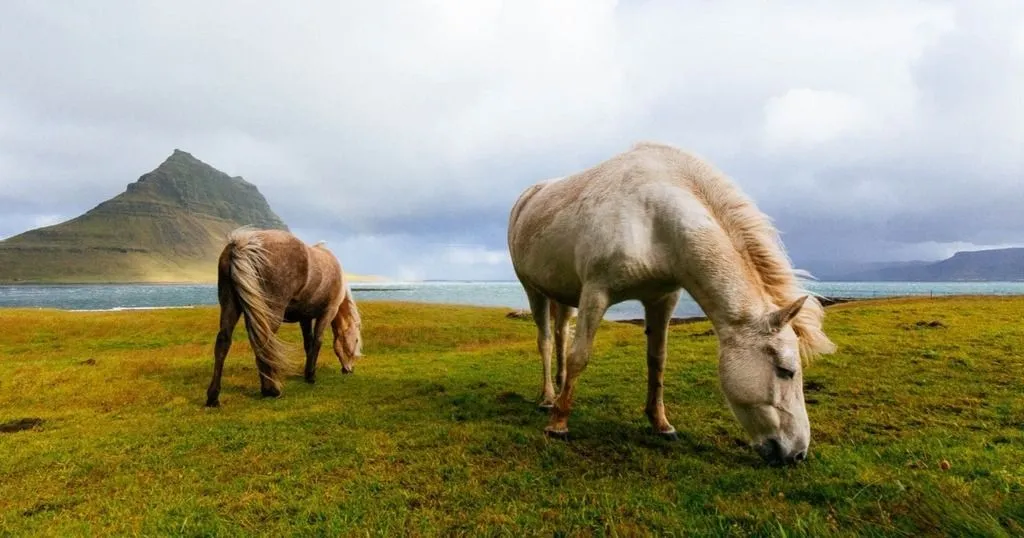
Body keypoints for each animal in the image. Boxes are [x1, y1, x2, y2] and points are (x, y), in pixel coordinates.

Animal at [203, 226, 364, 407]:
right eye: (355, 340)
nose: (349, 369)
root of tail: (243, 244)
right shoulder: (327, 312)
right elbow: (318, 341)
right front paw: (311, 376)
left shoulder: (305, 318)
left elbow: (308, 343)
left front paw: (307, 373)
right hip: (271, 312)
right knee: (263, 342)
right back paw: (270, 390)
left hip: (230, 305)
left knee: (223, 342)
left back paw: (213, 397)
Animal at [507, 142, 835, 465]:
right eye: (785, 371)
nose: (797, 453)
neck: (654, 218)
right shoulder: (595, 294)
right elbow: (580, 356)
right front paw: (558, 424)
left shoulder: (662, 299)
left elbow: (657, 361)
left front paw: (660, 423)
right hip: (533, 290)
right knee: (547, 341)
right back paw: (549, 399)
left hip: (564, 296)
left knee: (561, 335)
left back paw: (560, 388)